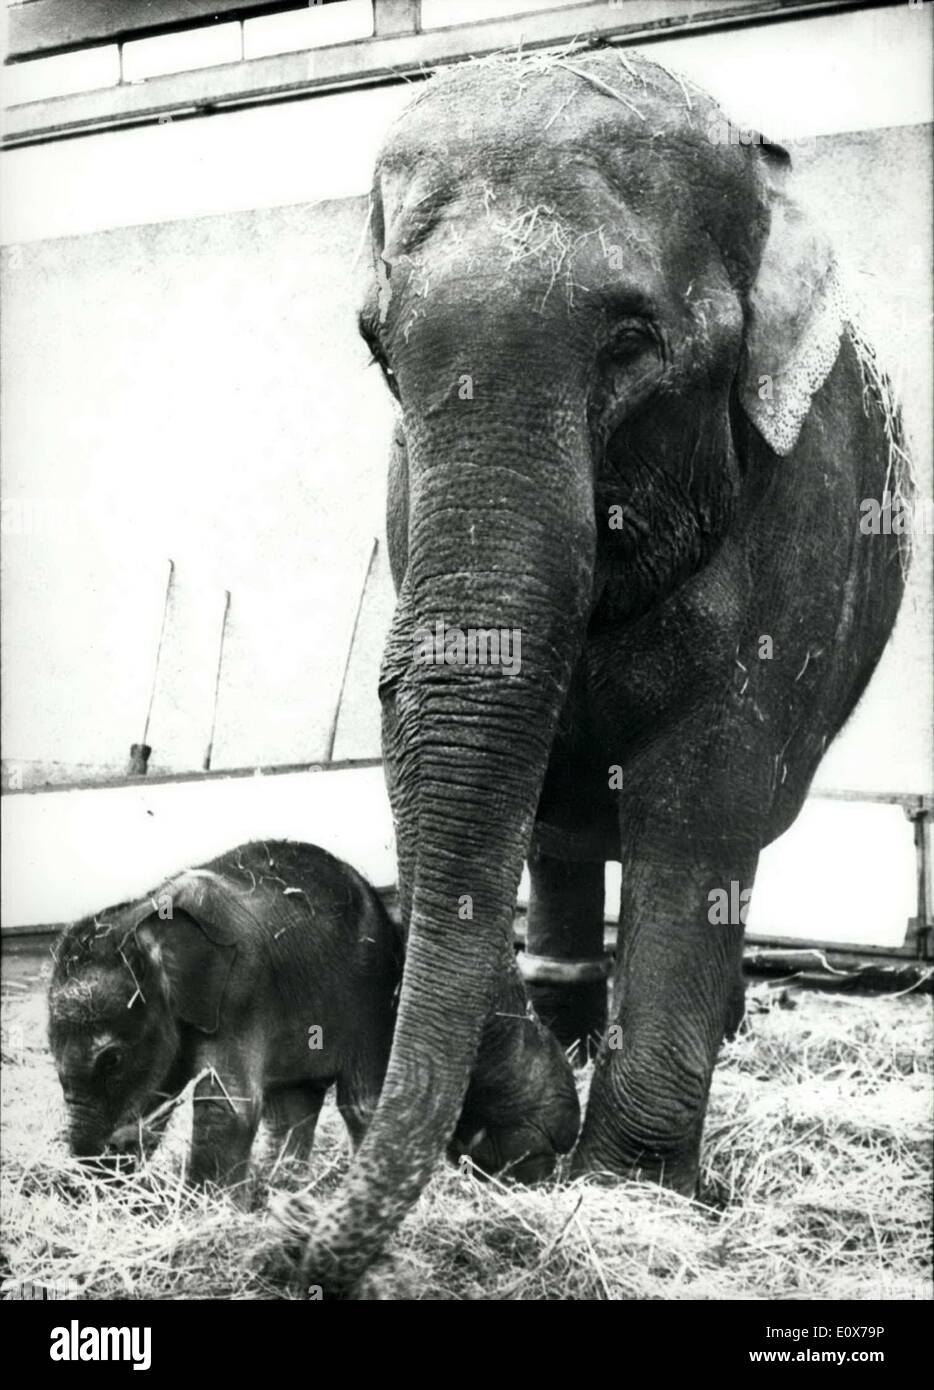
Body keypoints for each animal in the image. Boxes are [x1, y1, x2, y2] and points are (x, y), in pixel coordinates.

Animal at [50, 834, 400, 1184]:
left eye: (113, 1060)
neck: (147, 912)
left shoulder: (240, 991)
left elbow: (225, 1106)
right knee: (291, 1107)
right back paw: (281, 1185)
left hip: (372, 998)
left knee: (360, 1101)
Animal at [280, 48, 906, 1295]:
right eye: (377, 345)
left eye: (630, 342)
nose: (298, 1258)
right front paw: (527, 1134)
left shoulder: (803, 506)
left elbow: (701, 795)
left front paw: (622, 1189)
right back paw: (569, 1019)